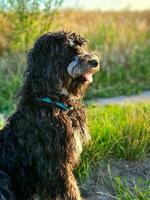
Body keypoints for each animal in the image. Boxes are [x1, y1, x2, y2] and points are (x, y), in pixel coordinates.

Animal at [0, 30, 100, 199]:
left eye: (81, 46)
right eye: (68, 49)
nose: (95, 62)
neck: (54, 101)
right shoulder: (54, 162)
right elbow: (69, 188)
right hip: (3, 178)